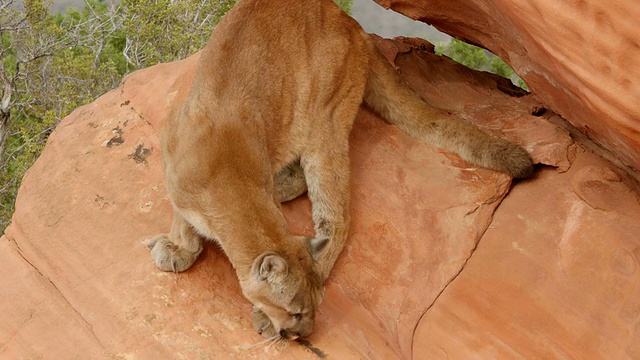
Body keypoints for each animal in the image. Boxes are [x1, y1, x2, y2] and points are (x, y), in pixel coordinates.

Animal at [148, 0, 532, 340]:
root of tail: (351, 23)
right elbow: (180, 213)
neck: (225, 173)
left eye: (313, 308)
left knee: (338, 216)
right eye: (295, 311)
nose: (304, 333)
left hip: (324, 120)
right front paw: (180, 247)